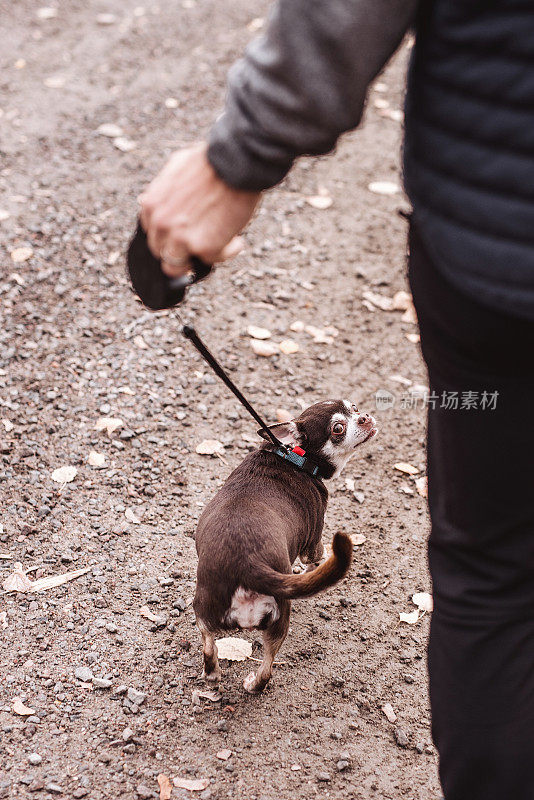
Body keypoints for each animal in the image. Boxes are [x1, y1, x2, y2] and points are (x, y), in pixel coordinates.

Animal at [195, 400, 378, 692]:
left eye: (354, 407)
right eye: (338, 428)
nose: (365, 417)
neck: (295, 458)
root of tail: (248, 564)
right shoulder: (313, 541)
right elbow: (315, 561)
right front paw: (309, 570)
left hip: (203, 610)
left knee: (209, 647)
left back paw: (212, 674)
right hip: (279, 619)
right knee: (267, 670)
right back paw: (253, 684)